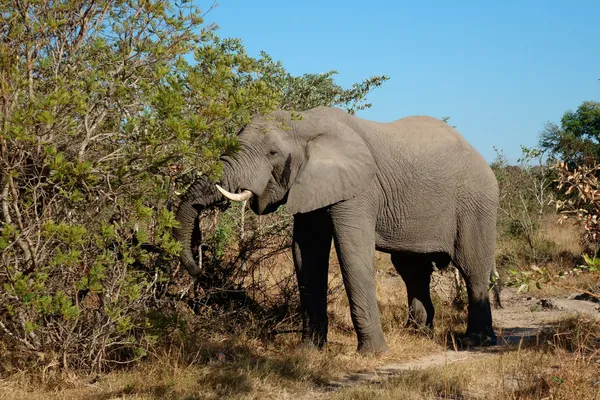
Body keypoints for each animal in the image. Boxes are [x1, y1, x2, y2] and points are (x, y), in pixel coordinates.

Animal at [172, 105, 496, 354]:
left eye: (273, 153)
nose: (199, 270)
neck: (303, 122)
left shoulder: (359, 189)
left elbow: (351, 253)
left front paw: (374, 354)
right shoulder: (309, 184)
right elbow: (306, 254)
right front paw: (307, 352)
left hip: (476, 203)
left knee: (472, 267)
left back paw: (476, 342)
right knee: (412, 271)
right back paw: (418, 334)